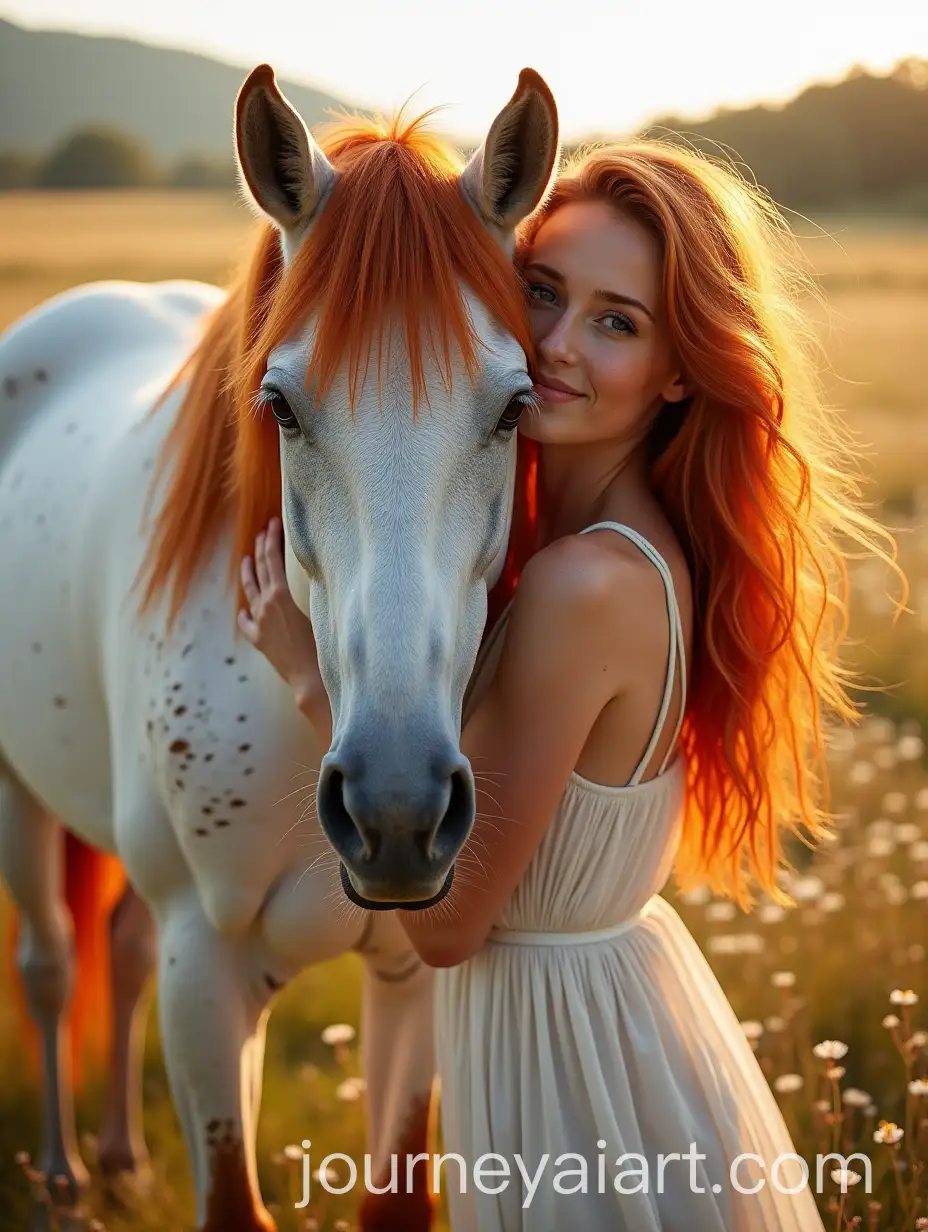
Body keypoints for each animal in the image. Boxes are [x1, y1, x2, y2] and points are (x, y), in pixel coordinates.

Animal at [0, 63, 558, 1231]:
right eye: (282, 405)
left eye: (514, 405)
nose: (396, 807)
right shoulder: (205, 973)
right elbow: (229, 1200)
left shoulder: (413, 971)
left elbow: (395, 1198)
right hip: (15, 795)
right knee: (51, 962)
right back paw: (65, 1176)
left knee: (116, 950)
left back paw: (120, 1155)